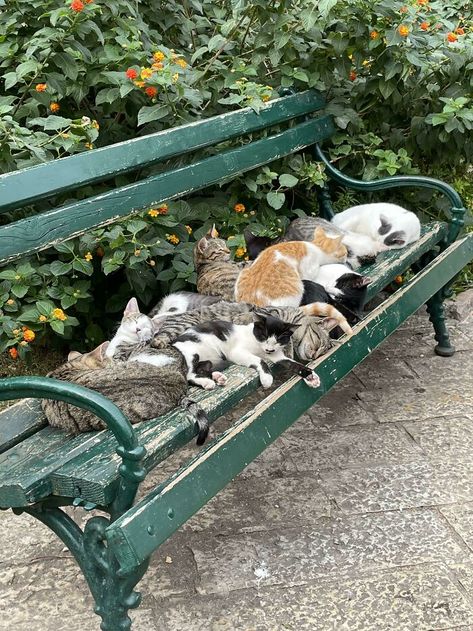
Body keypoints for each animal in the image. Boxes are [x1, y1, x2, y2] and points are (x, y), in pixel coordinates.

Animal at [173, 312, 320, 390]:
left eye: (279, 339)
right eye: (264, 336)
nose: (269, 349)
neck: (259, 346)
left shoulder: (277, 355)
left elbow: (293, 363)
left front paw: (311, 376)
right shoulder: (236, 352)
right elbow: (259, 360)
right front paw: (267, 378)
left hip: (209, 361)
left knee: (202, 369)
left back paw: (217, 377)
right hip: (192, 353)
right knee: (189, 376)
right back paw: (207, 382)